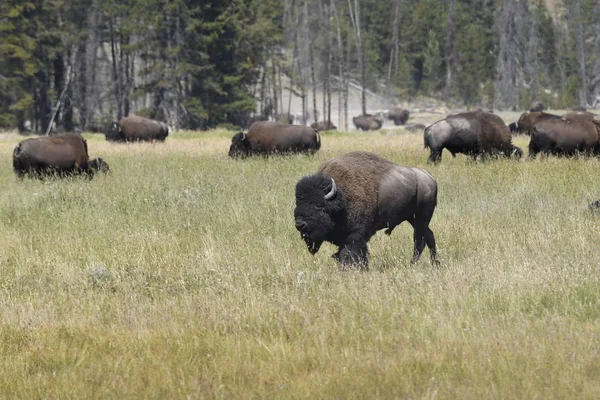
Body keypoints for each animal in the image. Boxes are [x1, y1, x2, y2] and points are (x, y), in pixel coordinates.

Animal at [292, 152, 438, 270]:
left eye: (318, 205)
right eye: (298, 203)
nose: (300, 224)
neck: (341, 197)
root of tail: (430, 178)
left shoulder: (356, 234)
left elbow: (350, 252)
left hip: (422, 217)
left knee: (419, 241)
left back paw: (413, 264)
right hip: (413, 218)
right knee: (429, 236)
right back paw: (436, 263)